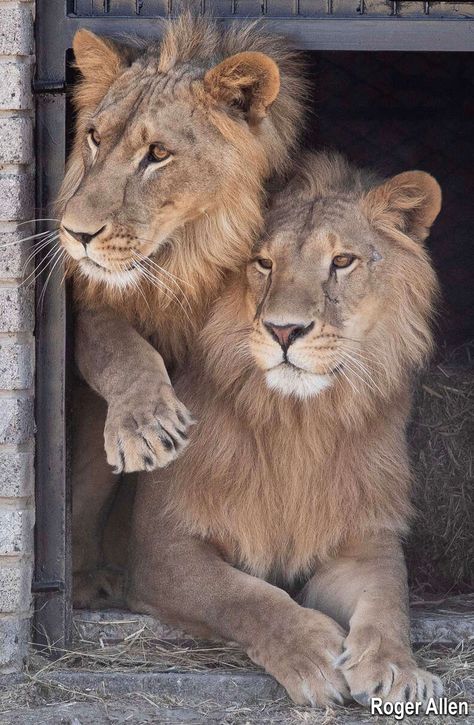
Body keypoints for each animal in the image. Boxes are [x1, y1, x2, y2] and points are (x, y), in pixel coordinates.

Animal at [56, 14, 308, 600]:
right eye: (94, 137)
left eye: (157, 154)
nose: (75, 234)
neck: (181, 259)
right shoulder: (93, 305)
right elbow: (121, 350)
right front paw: (145, 425)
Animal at [127, 151, 444, 708]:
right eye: (263, 263)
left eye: (342, 261)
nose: (283, 330)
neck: (299, 422)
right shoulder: (158, 544)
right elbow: (238, 594)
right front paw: (311, 653)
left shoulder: (363, 537)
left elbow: (390, 598)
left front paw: (398, 669)